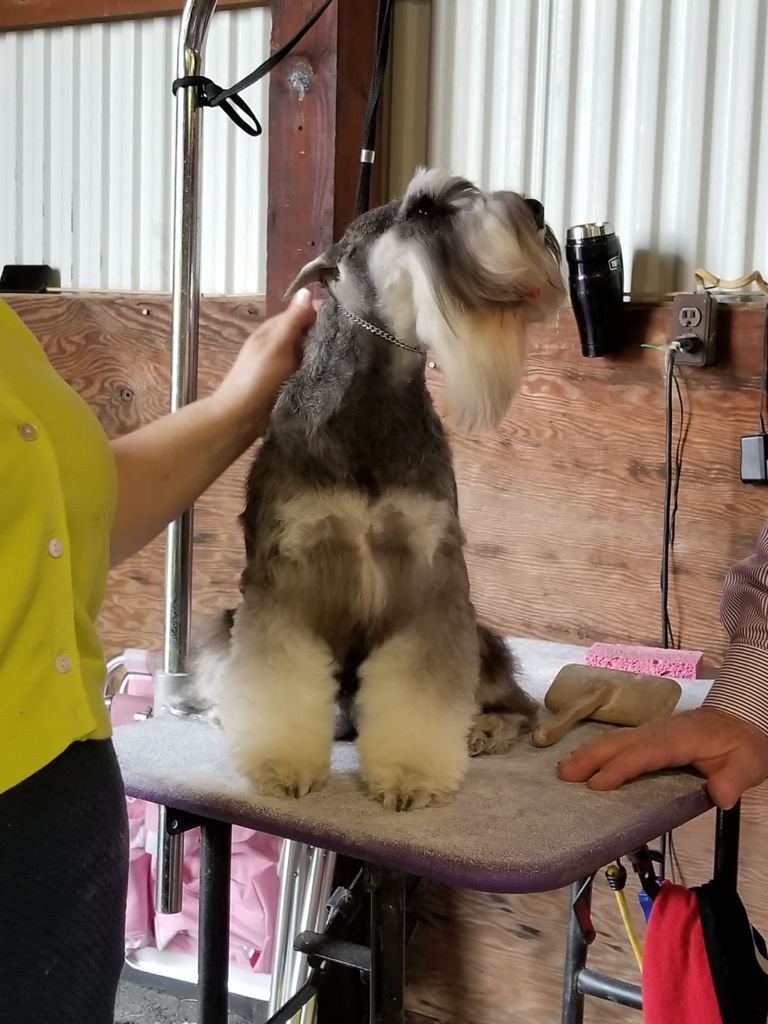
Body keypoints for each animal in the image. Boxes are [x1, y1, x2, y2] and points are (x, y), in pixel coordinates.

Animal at [188, 168, 564, 810]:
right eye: (424, 208)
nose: (537, 209)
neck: (373, 401)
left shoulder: (431, 577)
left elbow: (419, 686)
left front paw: (411, 773)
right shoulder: (283, 582)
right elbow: (277, 679)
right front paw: (281, 763)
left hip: (483, 642)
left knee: (520, 702)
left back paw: (485, 729)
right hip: (225, 624)